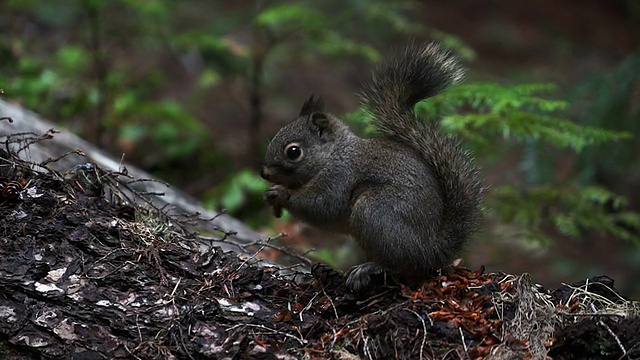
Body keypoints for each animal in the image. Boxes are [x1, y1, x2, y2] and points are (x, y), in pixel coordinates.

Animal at [258, 42, 480, 294]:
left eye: (293, 152)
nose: (264, 173)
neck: (333, 155)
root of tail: (429, 251)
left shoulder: (339, 178)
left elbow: (321, 206)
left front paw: (280, 194)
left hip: (374, 211)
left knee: (401, 264)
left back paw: (369, 269)